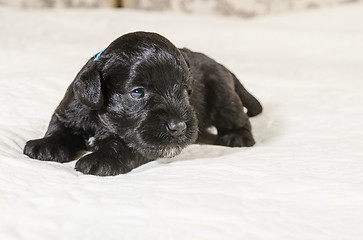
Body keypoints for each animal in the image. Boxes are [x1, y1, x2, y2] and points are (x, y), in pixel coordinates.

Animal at [23, 31, 262, 175]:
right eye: (138, 92)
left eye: (185, 90)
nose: (179, 127)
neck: (102, 120)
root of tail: (222, 66)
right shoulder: (69, 111)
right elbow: (59, 127)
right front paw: (46, 145)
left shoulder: (142, 143)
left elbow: (122, 145)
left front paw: (100, 159)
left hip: (222, 94)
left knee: (237, 118)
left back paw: (236, 137)